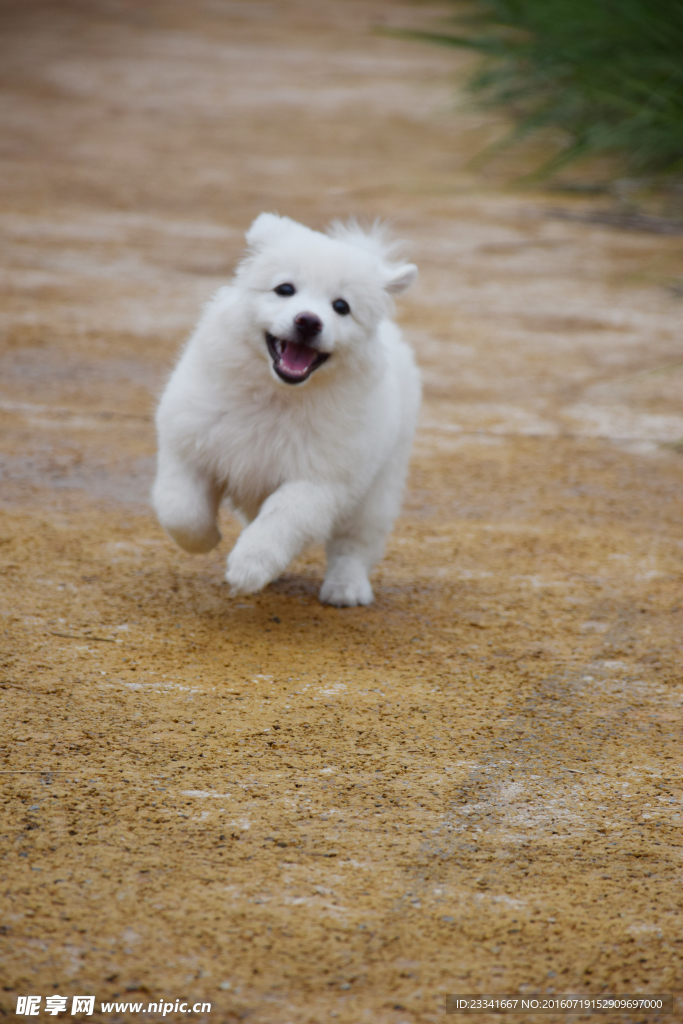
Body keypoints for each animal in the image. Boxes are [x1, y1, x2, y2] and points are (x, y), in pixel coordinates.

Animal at [153, 210, 421, 602]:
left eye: (341, 307)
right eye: (284, 289)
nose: (308, 321)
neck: (277, 396)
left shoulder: (318, 481)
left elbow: (281, 518)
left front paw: (248, 567)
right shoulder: (189, 446)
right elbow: (180, 510)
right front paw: (206, 540)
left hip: (377, 489)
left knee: (355, 544)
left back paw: (346, 588)